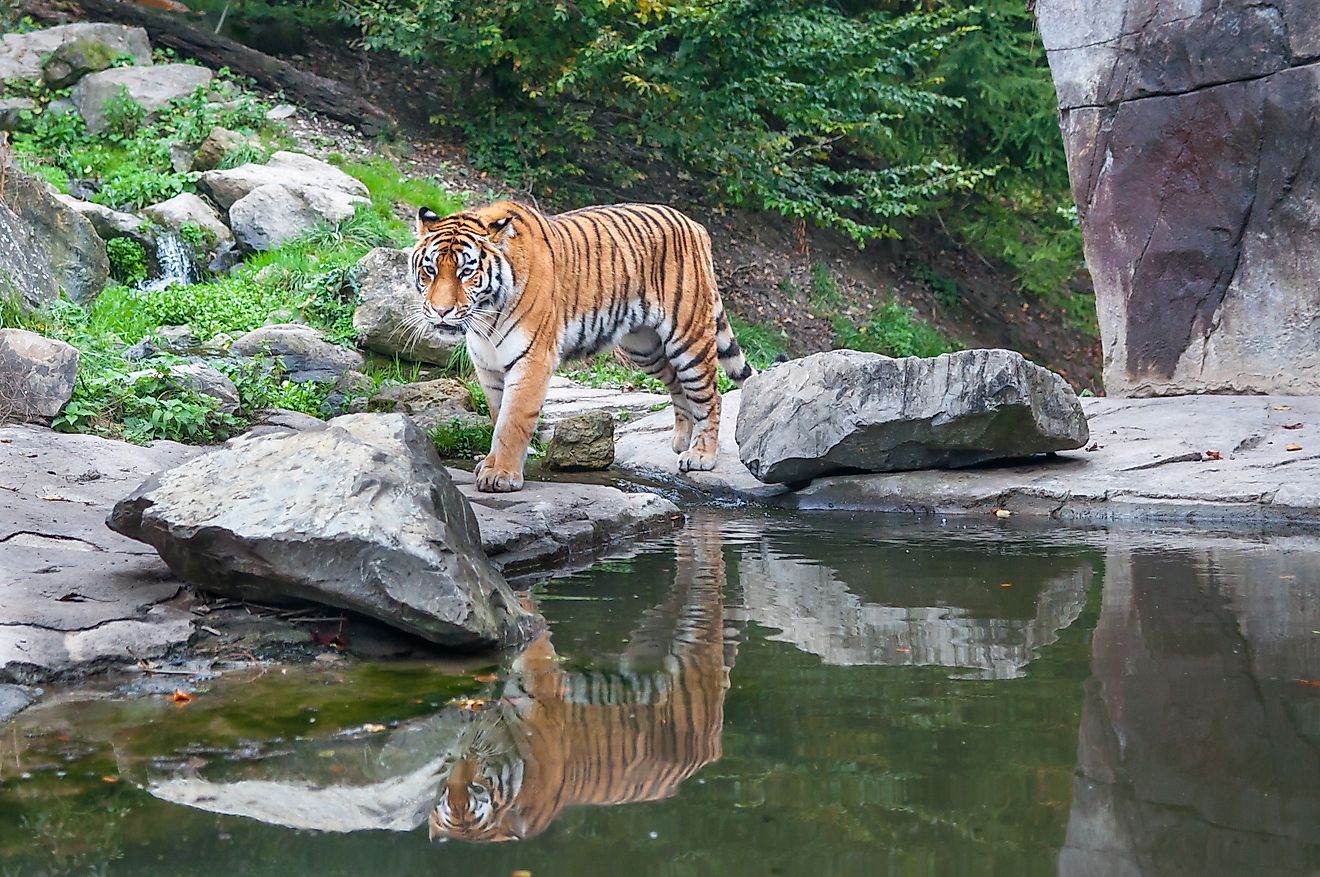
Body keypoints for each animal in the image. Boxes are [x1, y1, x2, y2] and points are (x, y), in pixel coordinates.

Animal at [409, 201, 755, 492]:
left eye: (466, 272)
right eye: (430, 270)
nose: (440, 311)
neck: (486, 318)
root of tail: (694, 224)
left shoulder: (532, 359)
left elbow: (512, 422)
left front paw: (501, 475)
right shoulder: (487, 366)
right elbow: (498, 417)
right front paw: (491, 464)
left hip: (687, 338)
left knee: (711, 396)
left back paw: (701, 455)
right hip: (644, 347)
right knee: (678, 386)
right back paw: (683, 441)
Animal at [429, 521, 731, 842]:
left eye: (476, 789)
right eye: (446, 794)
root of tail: (712, 749)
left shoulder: (538, 689)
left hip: (697, 626)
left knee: (708, 562)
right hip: (656, 629)